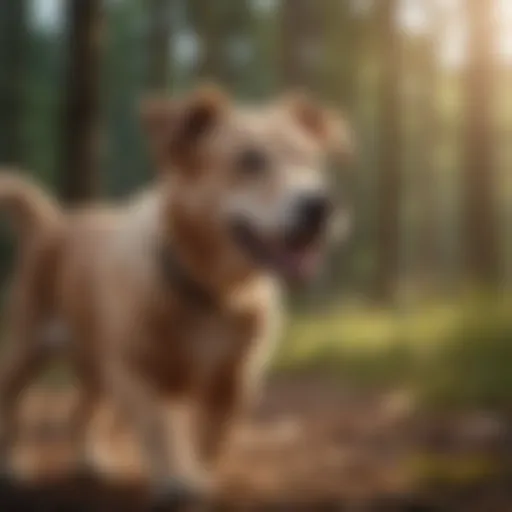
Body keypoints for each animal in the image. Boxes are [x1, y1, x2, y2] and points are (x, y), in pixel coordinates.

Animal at [0, 86, 352, 506]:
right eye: (249, 161)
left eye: (310, 159)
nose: (320, 205)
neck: (212, 292)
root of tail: (52, 223)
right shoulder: (139, 371)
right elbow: (161, 429)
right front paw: (176, 481)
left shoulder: (233, 382)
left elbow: (210, 440)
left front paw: (198, 475)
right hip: (27, 349)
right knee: (12, 405)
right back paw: (13, 465)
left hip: (97, 366)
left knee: (82, 411)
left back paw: (90, 460)